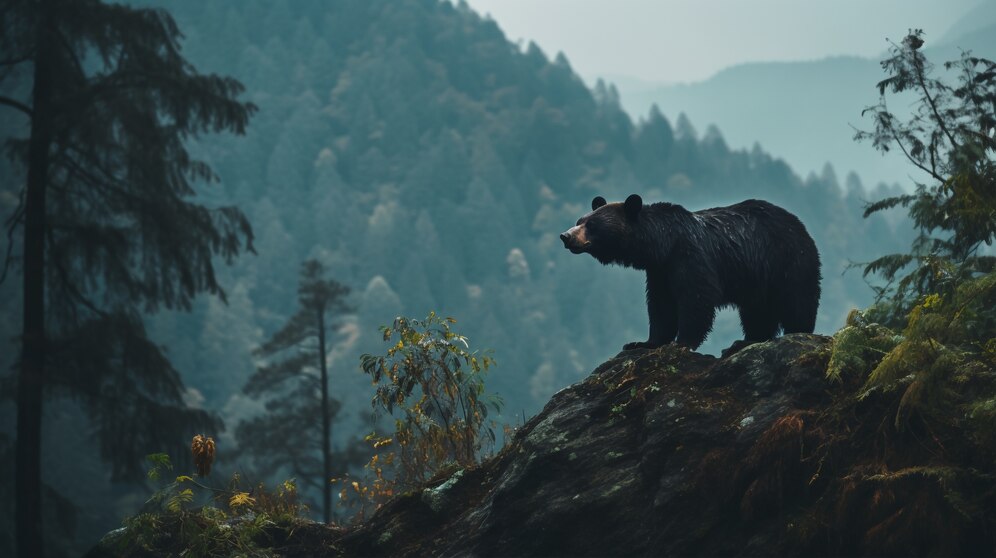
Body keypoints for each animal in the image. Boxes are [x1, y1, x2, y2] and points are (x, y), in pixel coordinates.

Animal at [564, 196, 820, 350]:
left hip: (787, 262)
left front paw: (681, 342)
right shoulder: (660, 272)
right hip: (756, 279)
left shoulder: (690, 256)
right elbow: (661, 307)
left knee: (797, 301)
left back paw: (796, 332)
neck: (663, 245)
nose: (566, 236)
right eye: (580, 220)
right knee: (757, 312)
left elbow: (696, 298)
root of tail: (801, 225)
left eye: (592, 225)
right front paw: (642, 343)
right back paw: (747, 340)